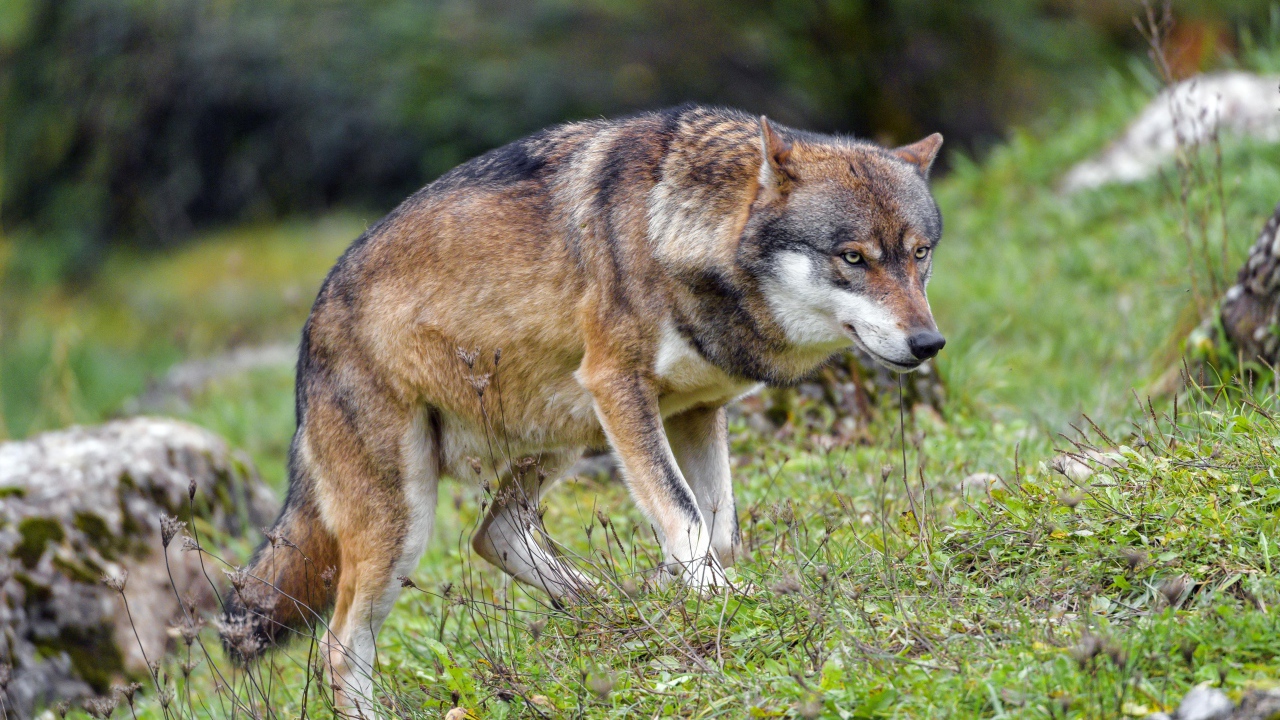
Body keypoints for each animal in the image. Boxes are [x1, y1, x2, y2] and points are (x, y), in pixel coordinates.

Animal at [220, 103, 947, 702]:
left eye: (919, 255)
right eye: (852, 257)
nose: (929, 343)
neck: (674, 233)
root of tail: (310, 328)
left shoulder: (695, 412)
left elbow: (718, 531)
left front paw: (703, 597)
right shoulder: (618, 386)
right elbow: (684, 517)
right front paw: (721, 602)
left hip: (567, 432)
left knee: (495, 533)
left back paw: (611, 608)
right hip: (407, 518)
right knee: (339, 648)